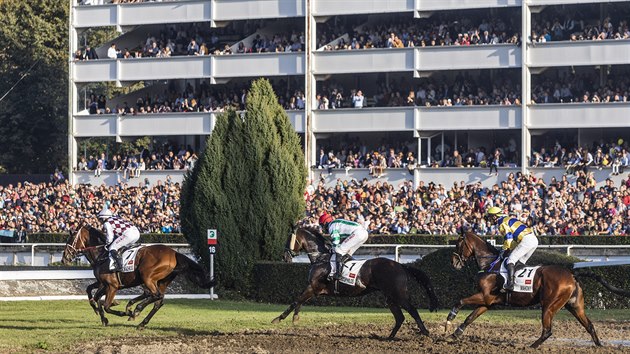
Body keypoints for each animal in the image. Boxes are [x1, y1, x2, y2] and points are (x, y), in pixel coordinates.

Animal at [63, 224, 217, 330]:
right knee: (158, 301)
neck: (102, 255)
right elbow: (92, 294)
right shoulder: (103, 284)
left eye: (71, 239)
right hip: (161, 281)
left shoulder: (112, 286)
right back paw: (141, 321)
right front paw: (104, 316)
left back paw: (136, 310)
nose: (65, 258)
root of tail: (174, 252)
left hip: (147, 276)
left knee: (155, 295)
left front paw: (119, 312)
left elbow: (104, 304)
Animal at [274, 228, 442, 338]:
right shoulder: (314, 289)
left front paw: (278, 318)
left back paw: (425, 332)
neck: (320, 258)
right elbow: (299, 301)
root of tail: (400, 265)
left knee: (412, 310)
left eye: (288, 239)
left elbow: (295, 301)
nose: (284, 257)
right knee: (400, 317)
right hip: (390, 297)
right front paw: (295, 318)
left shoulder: (313, 287)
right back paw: (389, 338)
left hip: (398, 294)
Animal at [446, 230, 604, 348]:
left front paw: (449, 320)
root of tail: (572, 274)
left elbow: (460, 301)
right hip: (574, 306)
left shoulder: (484, 296)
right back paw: (599, 345)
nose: (453, 262)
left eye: (458, 244)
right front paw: (455, 334)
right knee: (589, 325)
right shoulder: (488, 301)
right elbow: (470, 317)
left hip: (549, 305)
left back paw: (531, 346)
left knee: (547, 331)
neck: (490, 265)